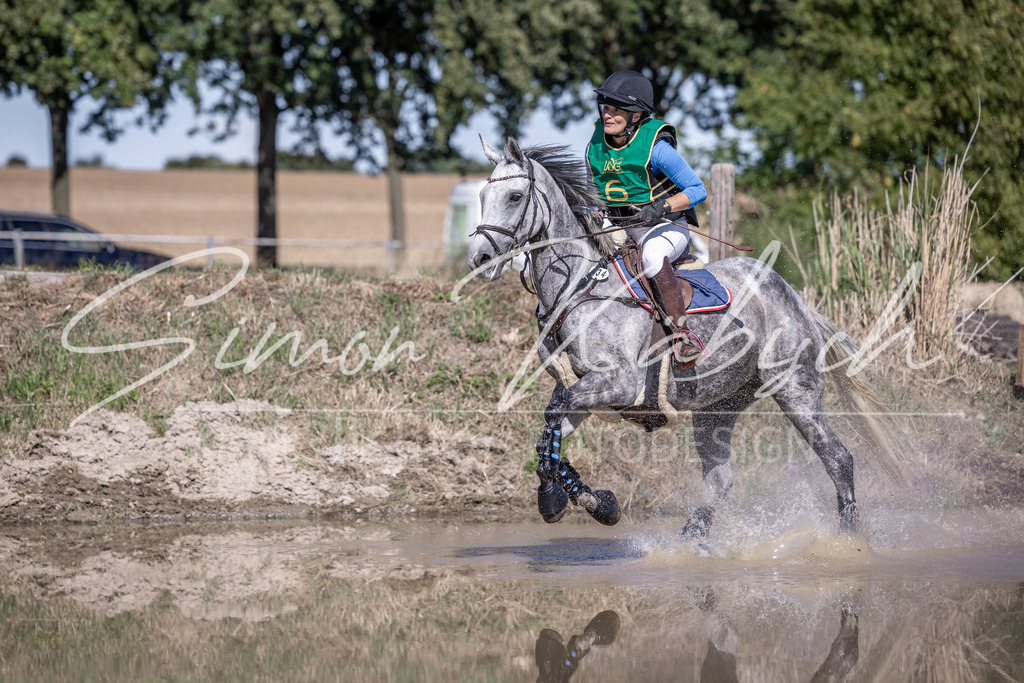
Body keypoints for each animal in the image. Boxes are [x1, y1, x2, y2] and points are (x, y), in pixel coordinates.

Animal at [466, 136, 903, 539]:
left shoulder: (618, 382)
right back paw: (693, 541)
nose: (480, 260)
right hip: (717, 404)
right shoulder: (585, 388)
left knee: (838, 458)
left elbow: (553, 418)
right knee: (720, 479)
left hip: (795, 390)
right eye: (482, 196)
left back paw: (848, 539)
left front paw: (555, 499)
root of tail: (795, 298)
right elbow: (550, 434)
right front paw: (594, 502)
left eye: (515, 196)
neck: (580, 284)